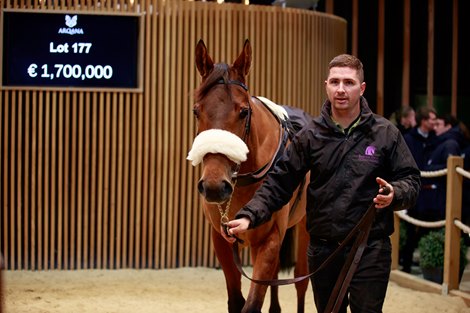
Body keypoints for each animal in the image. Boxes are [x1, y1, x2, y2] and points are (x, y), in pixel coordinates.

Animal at [187, 39, 312, 312]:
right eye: (196, 111)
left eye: (244, 112)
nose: (214, 186)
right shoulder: (222, 239)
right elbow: (237, 300)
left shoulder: (268, 240)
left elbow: (253, 303)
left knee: (301, 281)